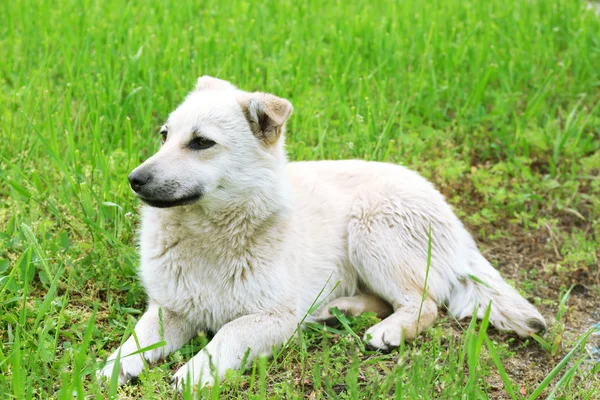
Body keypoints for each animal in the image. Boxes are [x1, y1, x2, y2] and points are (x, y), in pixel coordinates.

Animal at [99, 76, 548, 390]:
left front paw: (194, 371)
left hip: (370, 229)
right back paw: (341, 309)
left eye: (201, 143)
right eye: (165, 136)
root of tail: (447, 209)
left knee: (425, 304)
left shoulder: (275, 319)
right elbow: (138, 338)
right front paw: (114, 365)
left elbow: (229, 332)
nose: (134, 180)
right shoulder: (172, 309)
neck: (210, 235)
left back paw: (387, 330)